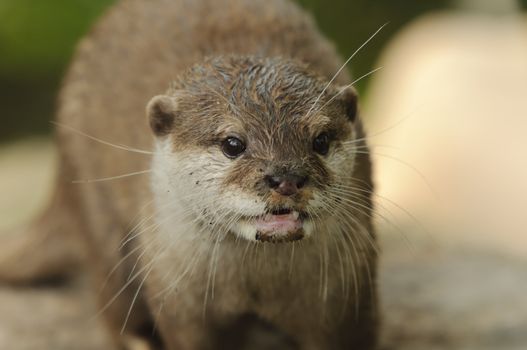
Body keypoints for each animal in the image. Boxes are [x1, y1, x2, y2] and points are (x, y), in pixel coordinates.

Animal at [0, 0, 380, 350]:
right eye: (233, 143)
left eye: (321, 140)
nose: (286, 177)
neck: (255, 285)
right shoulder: (178, 300)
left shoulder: (346, 295)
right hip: (100, 221)